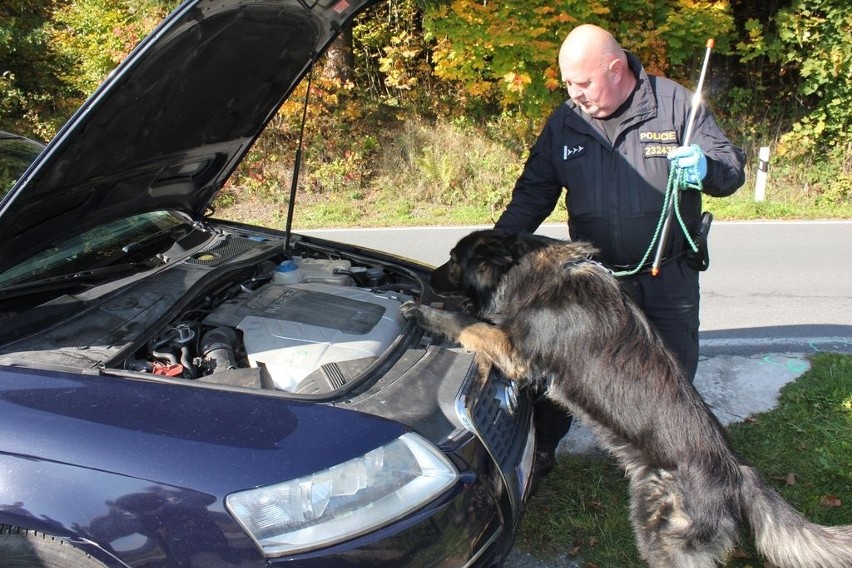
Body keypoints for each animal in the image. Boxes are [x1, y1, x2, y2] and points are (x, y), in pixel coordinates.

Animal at [402, 230, 852, 568]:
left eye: (453, 259)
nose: (428, 280)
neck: (533, 271)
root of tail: (737, 473)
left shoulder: (514, 352)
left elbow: (468, 322)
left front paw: (425, 313)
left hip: (658, 531)